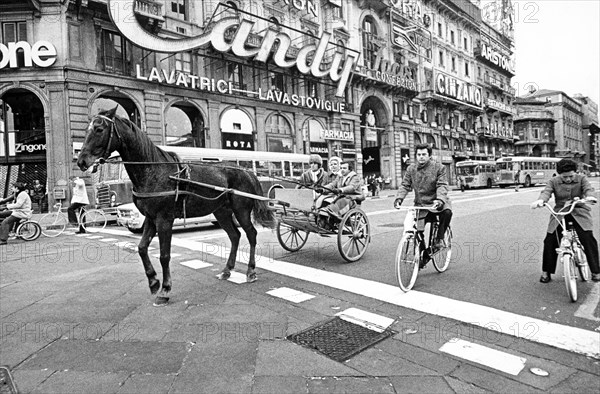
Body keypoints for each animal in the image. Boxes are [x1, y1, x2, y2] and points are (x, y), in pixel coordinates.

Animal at [77, 107, 276, 304]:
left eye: (99, 129)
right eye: (87, 129)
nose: (81, 161)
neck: (154, 170)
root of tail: (247, 171)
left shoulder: (164, 219)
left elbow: (164, 255)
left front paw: (165, 290)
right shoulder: (150, 218)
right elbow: (142, 248)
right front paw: (153, 282)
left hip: (241, 210)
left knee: (251, 234)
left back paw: (251, 271)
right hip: (222, 212)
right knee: (235, 236)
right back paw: (227, 270)